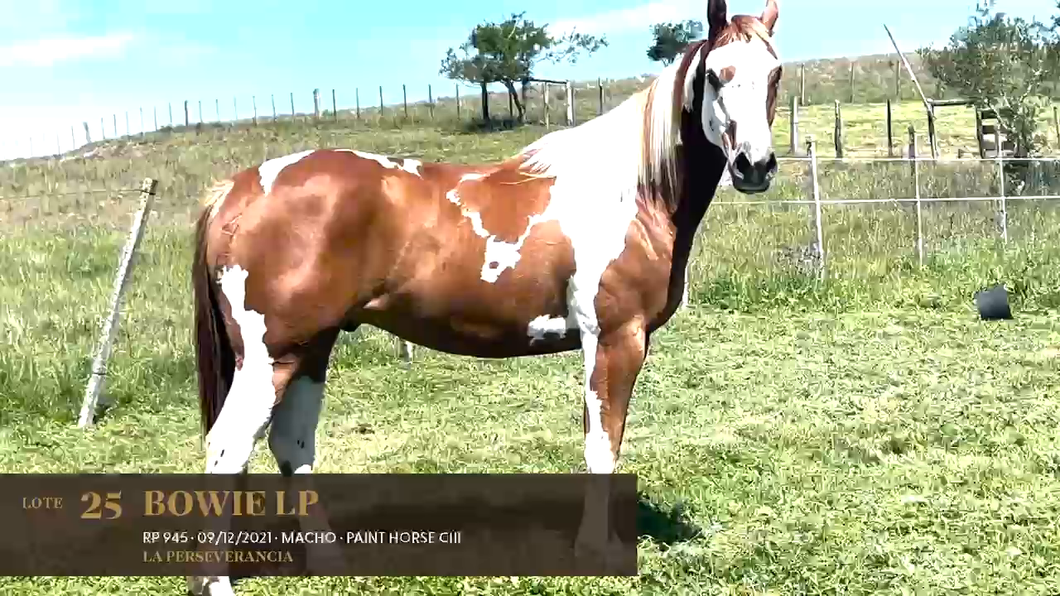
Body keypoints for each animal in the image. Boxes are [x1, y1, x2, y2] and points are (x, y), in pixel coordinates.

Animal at [187, 0, 781, 592]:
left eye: (775, 73)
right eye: (715, 74)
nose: (754, 166)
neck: (631, 193)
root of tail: (236, 192)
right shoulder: (615, 338)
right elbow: (603, 444)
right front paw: (597, 553)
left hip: (310, 348)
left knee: (291, 445)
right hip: (272, 357)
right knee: (226, 449)